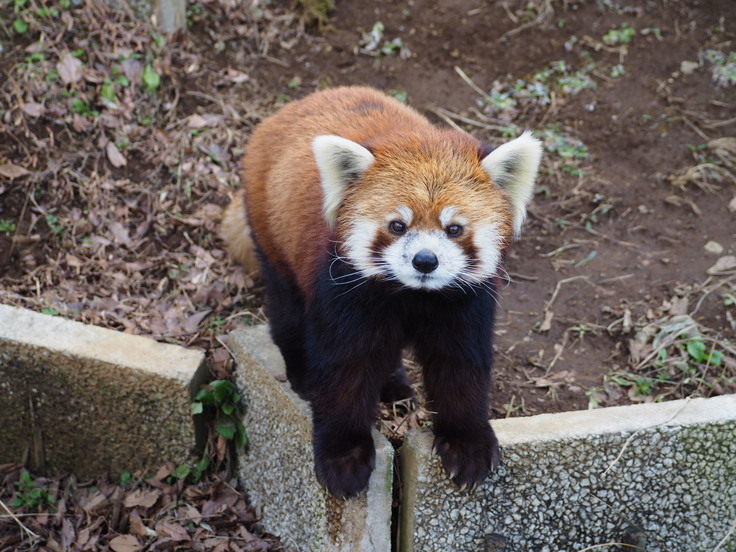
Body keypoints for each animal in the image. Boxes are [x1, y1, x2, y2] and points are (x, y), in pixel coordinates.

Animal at [221, 86, 544, 500]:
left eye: (454, 229)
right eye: (397, 225)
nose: (425, 261)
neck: (412, 294)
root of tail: (296, 106)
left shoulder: (465, 300)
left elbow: (460, 364)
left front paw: (467, 443)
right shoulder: (344, 290)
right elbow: (345, 367)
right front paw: (343, 456)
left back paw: (394, 386)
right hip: (271, 235)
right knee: (288, 310)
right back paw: (302, 372)